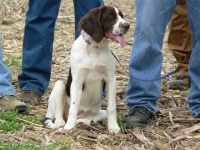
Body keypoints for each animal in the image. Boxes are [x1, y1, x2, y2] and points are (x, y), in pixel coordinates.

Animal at [42, 5, 130, 134]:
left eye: (122, 16)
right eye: (110, 17)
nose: (127, 25)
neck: (95, 48)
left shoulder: (111, 79)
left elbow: (112, 107)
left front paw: (113, 127)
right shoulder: (77, 82)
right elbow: (73, 107)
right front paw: (69, 127)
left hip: (97, 113)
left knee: (88, 118)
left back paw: (88, 122)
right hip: (59, 86)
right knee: (59, 116)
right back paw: (62, 123)